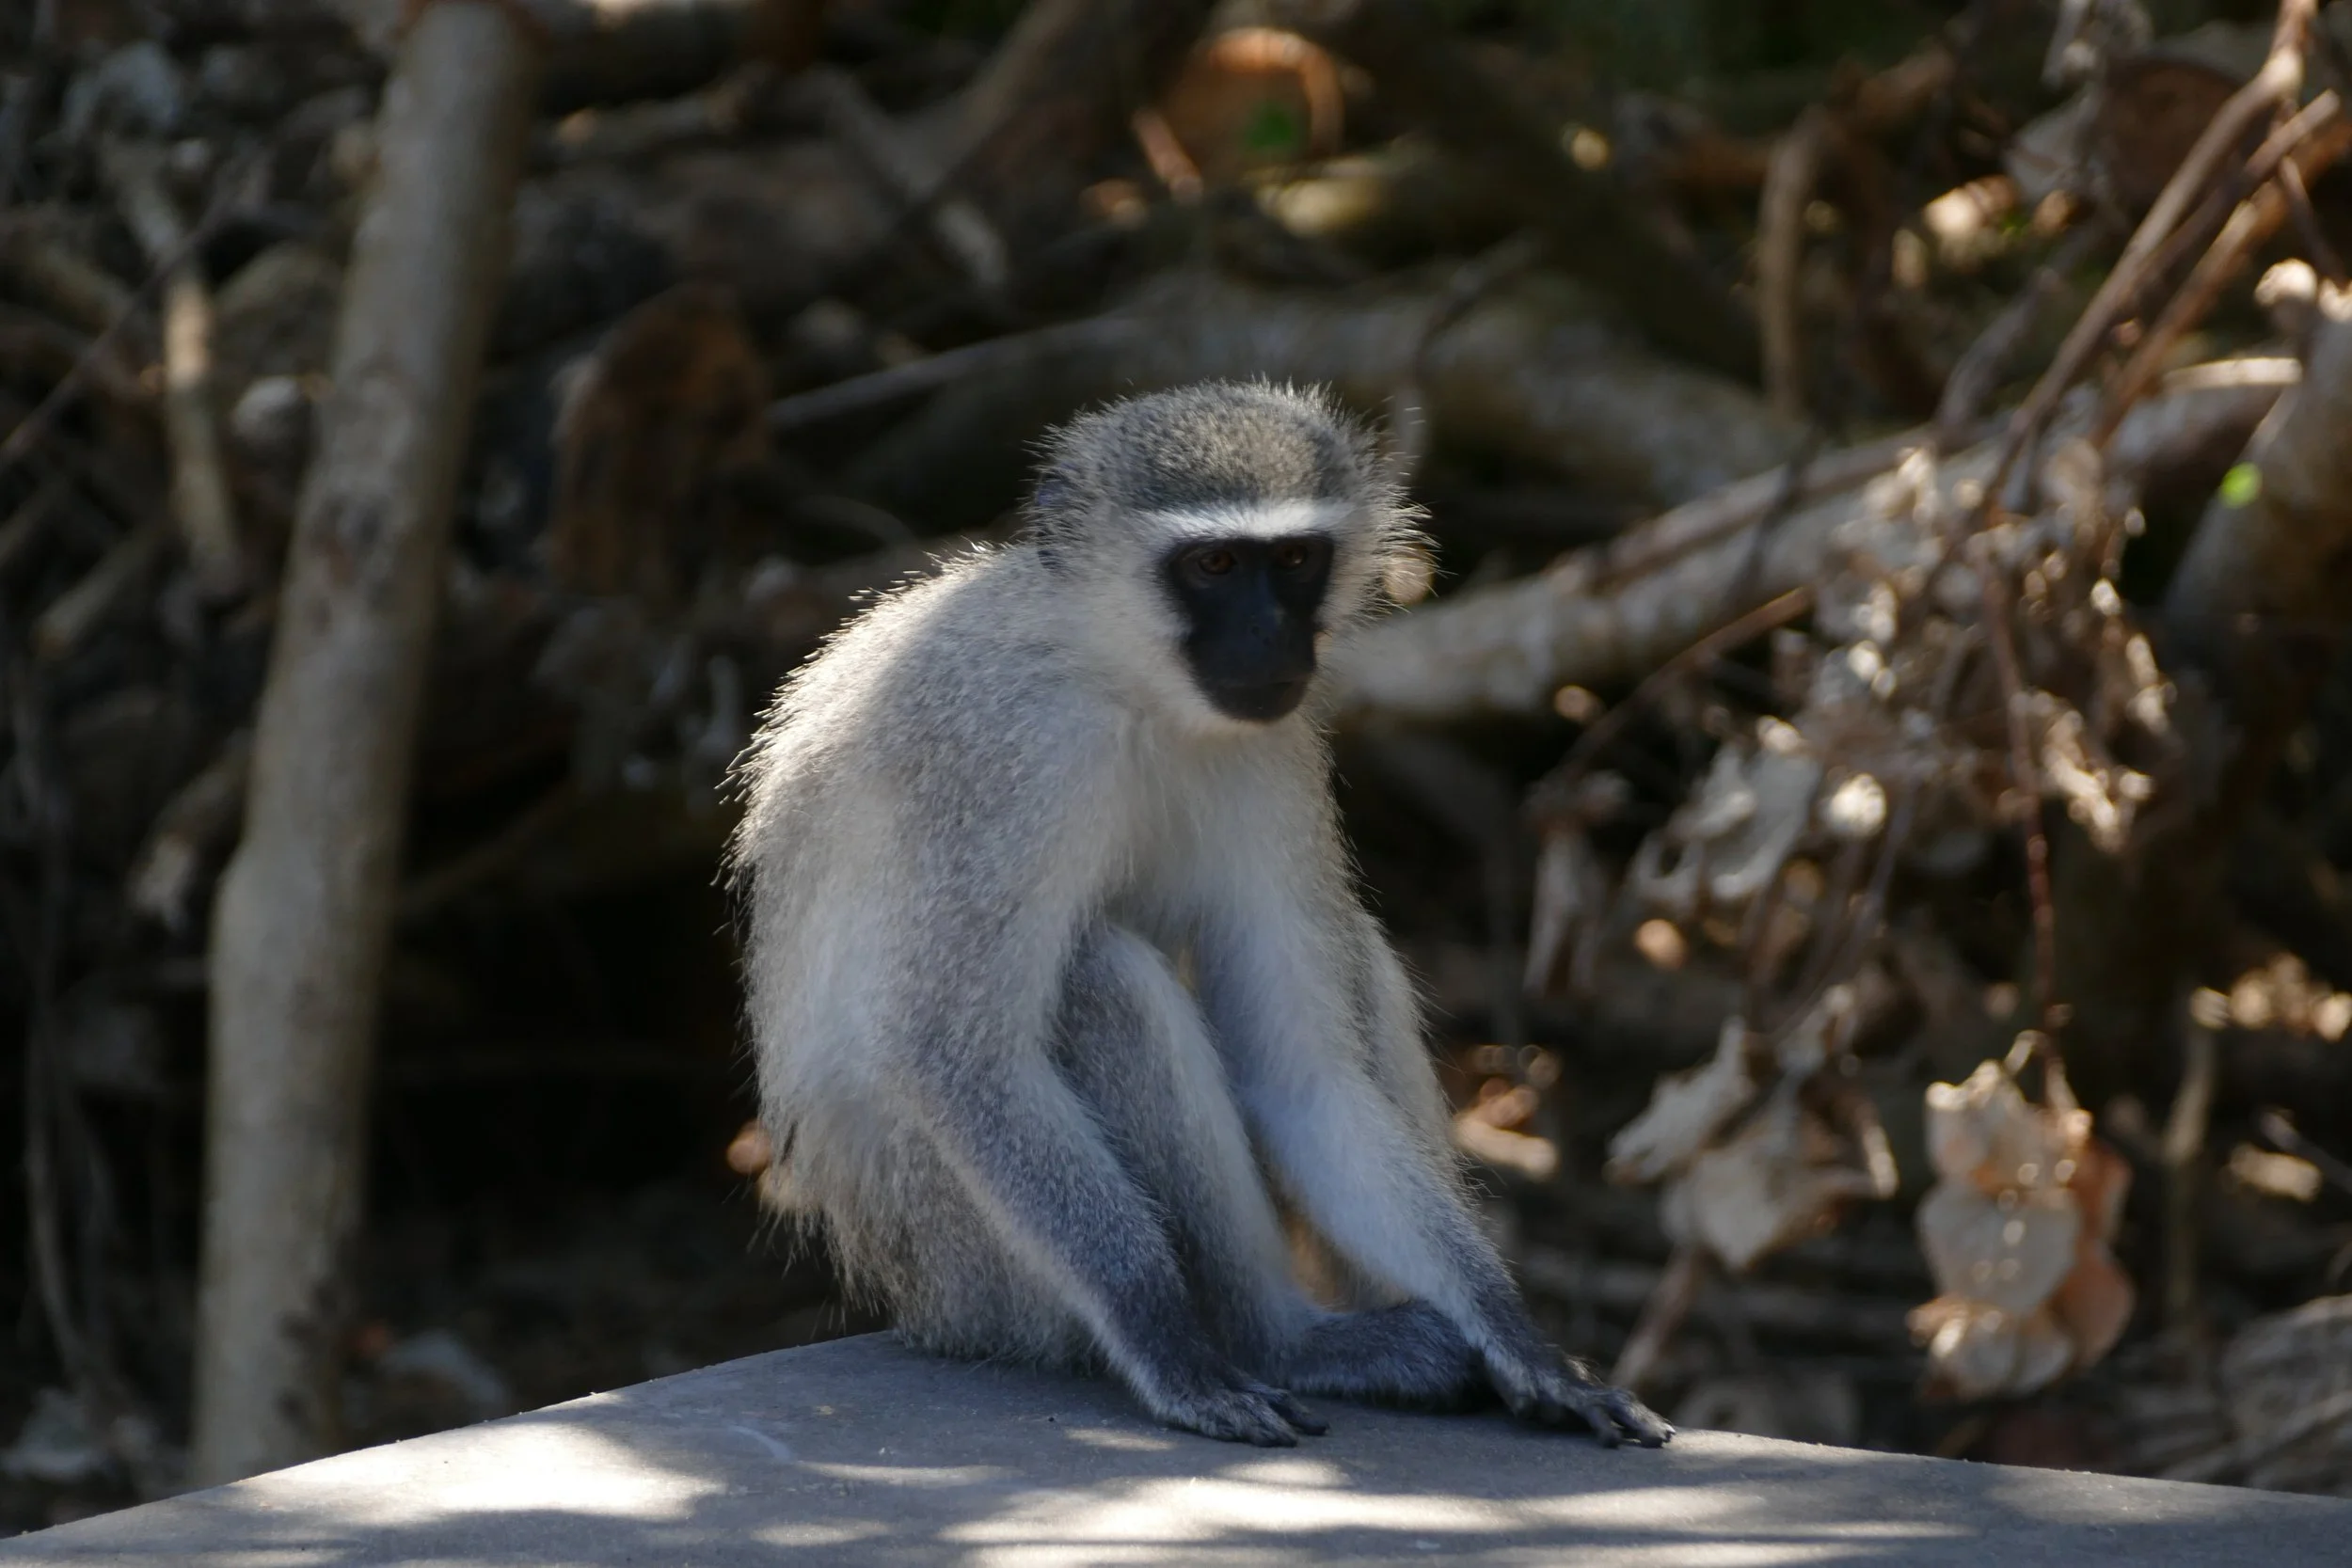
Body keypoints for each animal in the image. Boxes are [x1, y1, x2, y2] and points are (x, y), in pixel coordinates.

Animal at [727, 381, 1670, 1449]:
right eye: (1213, 566)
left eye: (1293, 561)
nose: (1271, 639)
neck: (1130, 686)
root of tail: (917, 1304)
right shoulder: (1004, 760)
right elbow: (954, 1056)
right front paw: (1169, 1343)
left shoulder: (1276, 749)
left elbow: (1301, 1075)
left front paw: (1523, 1341)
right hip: (970, 1266)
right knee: (1102, 983)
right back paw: (1279, 1341)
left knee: (1351, 960)